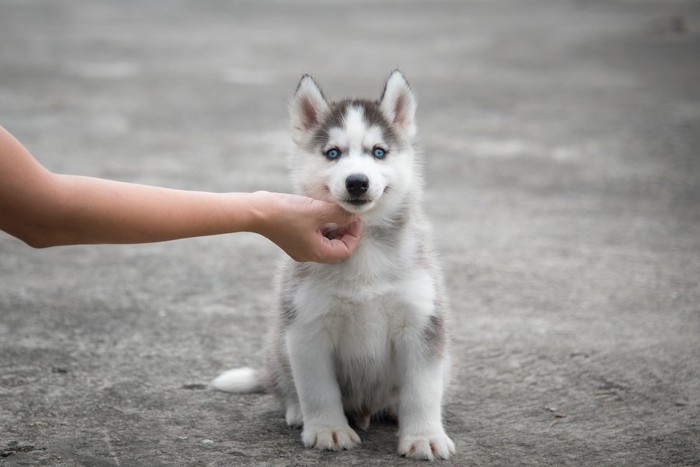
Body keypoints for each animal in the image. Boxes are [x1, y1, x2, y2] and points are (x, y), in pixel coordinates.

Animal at [212, 71, 454, 462]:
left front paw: (424, 437)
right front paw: (328, 430)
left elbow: (423, 391)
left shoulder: (422, 321)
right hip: (279, 344)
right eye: (333, 153)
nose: (357, 182)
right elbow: (317, 388)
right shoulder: (307, 326)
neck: (365, 248)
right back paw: (297, 410)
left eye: (378, 152)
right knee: (286, 387)